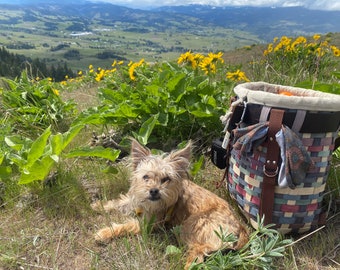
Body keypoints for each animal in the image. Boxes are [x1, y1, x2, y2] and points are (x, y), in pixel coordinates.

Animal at [91, 139, 248, 268]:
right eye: (146, 177)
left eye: (166, 179)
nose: (154, 190)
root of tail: (241, 228)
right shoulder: (136, 201)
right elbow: (121, 202)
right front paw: (99, 206)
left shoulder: (150, 223)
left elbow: (127, 225)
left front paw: (105, 232)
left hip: (192, 224)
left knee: (198, 255)